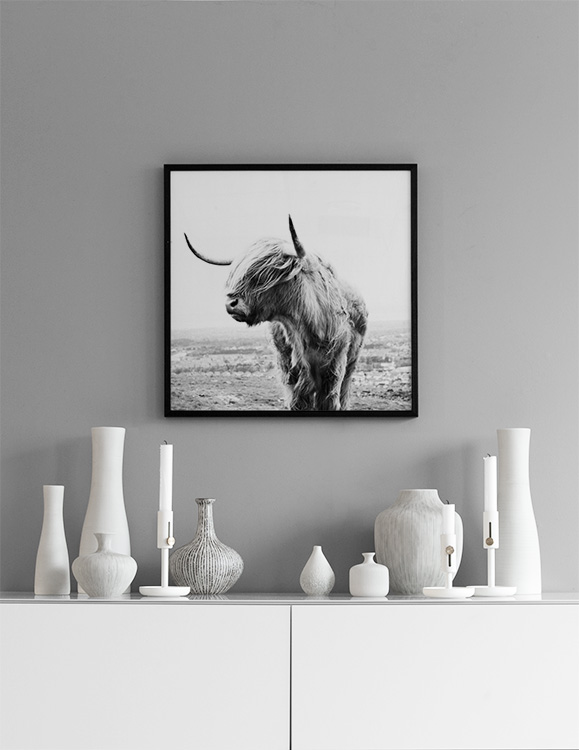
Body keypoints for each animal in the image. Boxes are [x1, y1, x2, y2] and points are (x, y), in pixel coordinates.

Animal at [185, 216, 368, 411]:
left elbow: (329, 401)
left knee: (345, 389)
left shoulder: (333, 367)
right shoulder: (289, 370)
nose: (231, 304)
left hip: (351, 362)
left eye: (265, 275)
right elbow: (298, 402)